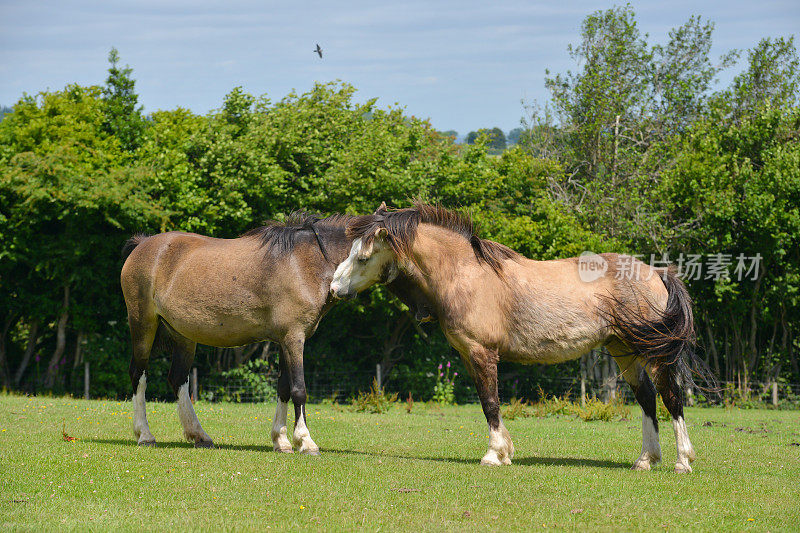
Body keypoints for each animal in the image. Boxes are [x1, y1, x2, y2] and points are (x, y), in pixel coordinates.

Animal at [120, 208, 432, 454]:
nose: (425, 309)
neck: (308, 262)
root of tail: (144, 244)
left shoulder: (284, 340)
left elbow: (282, 387)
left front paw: (281, 440)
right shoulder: (294, 338)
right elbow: (299, 389)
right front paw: (305, 441)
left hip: (183, 336)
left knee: (178, 380)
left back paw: (199, 435)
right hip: (143, 324)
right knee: (139, 375)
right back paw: (145, 435)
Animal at [328, 202, 716, 472]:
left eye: (363, 257)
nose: (333, 288)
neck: (466, 275)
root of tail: (658, 272)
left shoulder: (482, 353)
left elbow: (490, 402)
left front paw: (495, 454)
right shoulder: (469, 356)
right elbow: (488, 402)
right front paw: (503, 452)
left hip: (654, 352)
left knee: (671, 397)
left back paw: (682, 461)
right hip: (624, 350)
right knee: (648, 398)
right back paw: (645, 460)